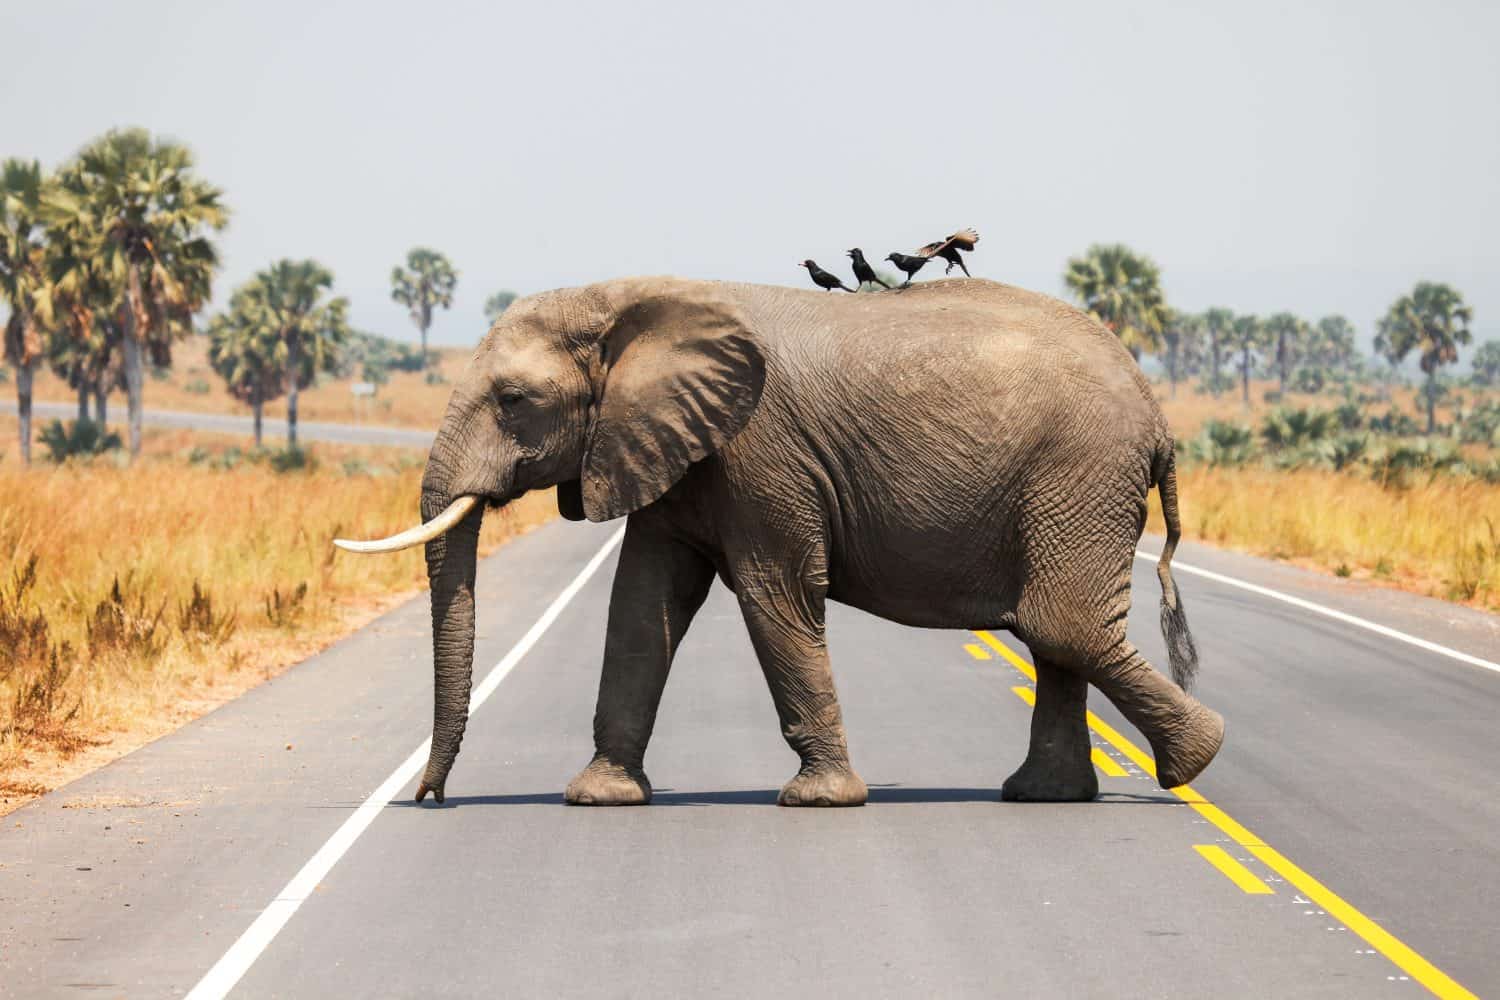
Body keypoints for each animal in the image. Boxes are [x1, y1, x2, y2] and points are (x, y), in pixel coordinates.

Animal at [343, 277, 1230, 809]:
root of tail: (1156, 413)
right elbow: (642, 606)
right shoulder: (669, 448)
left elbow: (776, 595)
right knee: (1056, 633)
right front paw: (599, 797)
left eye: (514, 400)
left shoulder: (761, 453)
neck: (631, 298)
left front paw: (820, 801)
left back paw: (1195, 761)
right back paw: (1047, 795)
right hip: (1072, 488)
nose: (430, 797)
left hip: (1080, 474)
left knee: (1060, 625)